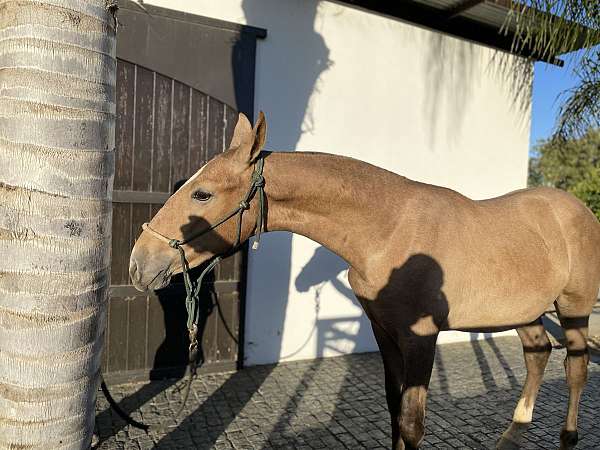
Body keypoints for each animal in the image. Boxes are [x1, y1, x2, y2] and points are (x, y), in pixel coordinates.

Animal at [130, 112, 600, 450]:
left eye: (202, 194)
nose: (139, 264)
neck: (390, 230)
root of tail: (577, 209)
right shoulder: (385, 332)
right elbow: (393, 409)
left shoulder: (420, 337)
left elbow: (411, 423)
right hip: (524, 310)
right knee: (538, 354)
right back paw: (513, 432)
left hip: (573, 307)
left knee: (576, 367)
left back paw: (568, 436)